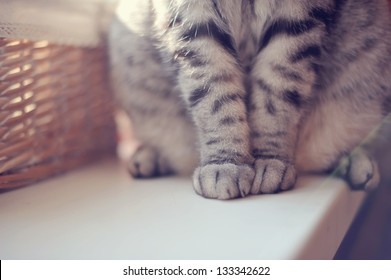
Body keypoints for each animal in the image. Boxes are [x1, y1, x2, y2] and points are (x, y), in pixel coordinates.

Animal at [108, 0, 391, 199]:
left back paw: (357, 165)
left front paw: (269, 161)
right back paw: (147, 159)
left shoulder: (297, 18)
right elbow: (215, 96)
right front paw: (226, 164)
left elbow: (274, 94)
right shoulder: (192, 19)